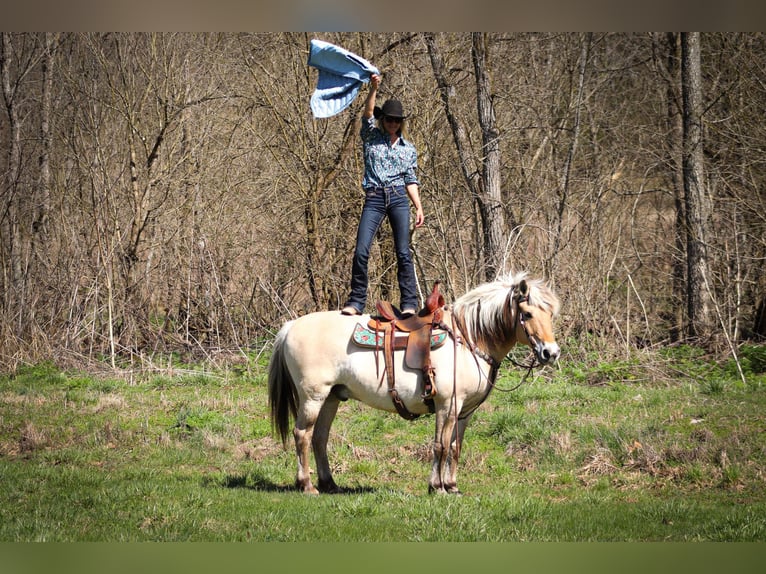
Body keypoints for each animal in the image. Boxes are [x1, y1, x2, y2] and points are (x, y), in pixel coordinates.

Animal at [268, 272, 560, 496]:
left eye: (550, 314)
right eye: (527, 313)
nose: (551, 353)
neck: (468, 339)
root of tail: (291, 326)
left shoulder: (465, 411)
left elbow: (455, 447)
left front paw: (452, 486)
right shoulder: (447, 404)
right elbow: (441, 445)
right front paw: (437, 487)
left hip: (331, 397)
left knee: (319, 437)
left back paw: (330, 484)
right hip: (313, 397)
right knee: (302, 435)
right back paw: (307, 485)